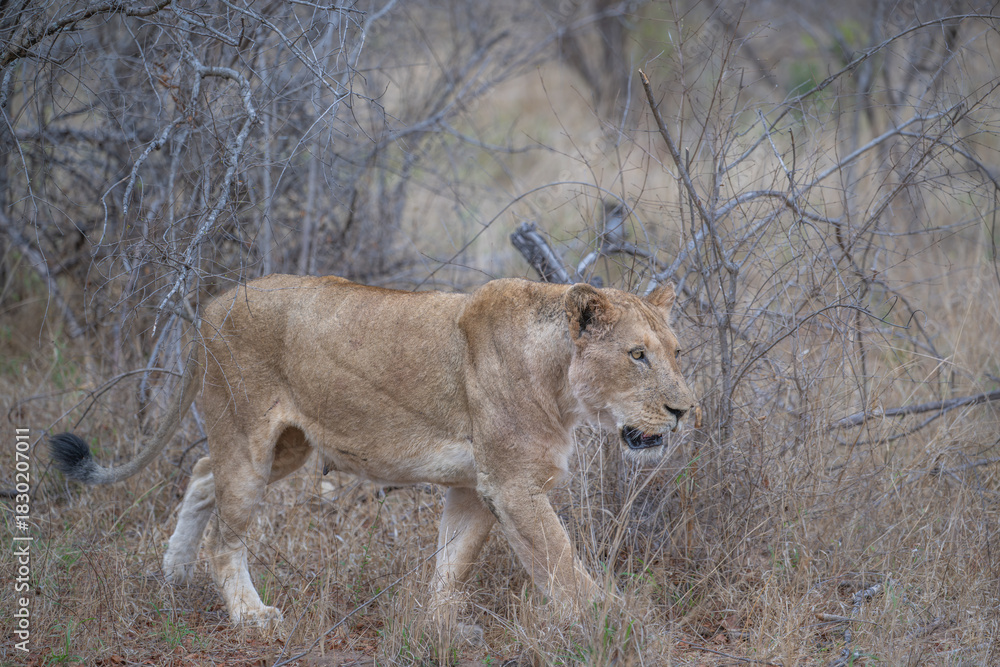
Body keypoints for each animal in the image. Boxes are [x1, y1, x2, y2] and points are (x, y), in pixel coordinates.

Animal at [50, 274, 696, 633]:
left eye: (677, 351)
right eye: (637, 355)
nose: (684, 410)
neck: (562, 384)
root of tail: (210, 305)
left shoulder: (474, 486)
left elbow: (452, 563)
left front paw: (440, 628)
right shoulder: (512, 485)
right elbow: (561, 562)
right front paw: (612, 619)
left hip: (285, 447)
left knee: (204, 473)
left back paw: (173, 574)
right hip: (248, 441)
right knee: (224, 537)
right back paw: (250, 615)